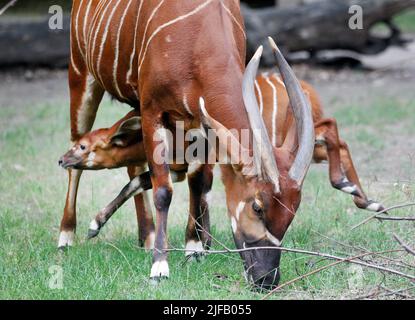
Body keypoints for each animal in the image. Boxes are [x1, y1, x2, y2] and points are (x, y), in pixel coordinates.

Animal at [61, 0, 312, 288]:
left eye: (293, 211)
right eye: (257, 206)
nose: (267, 279)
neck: (201, 36)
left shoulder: (199, 122)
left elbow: (198, 180)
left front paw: (194, 249)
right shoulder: (152, 111)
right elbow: (164, 191)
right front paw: (159, 267)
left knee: (135, 164)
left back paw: (146, 236)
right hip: (81, 76)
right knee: (76, 150)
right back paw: (66, 235)